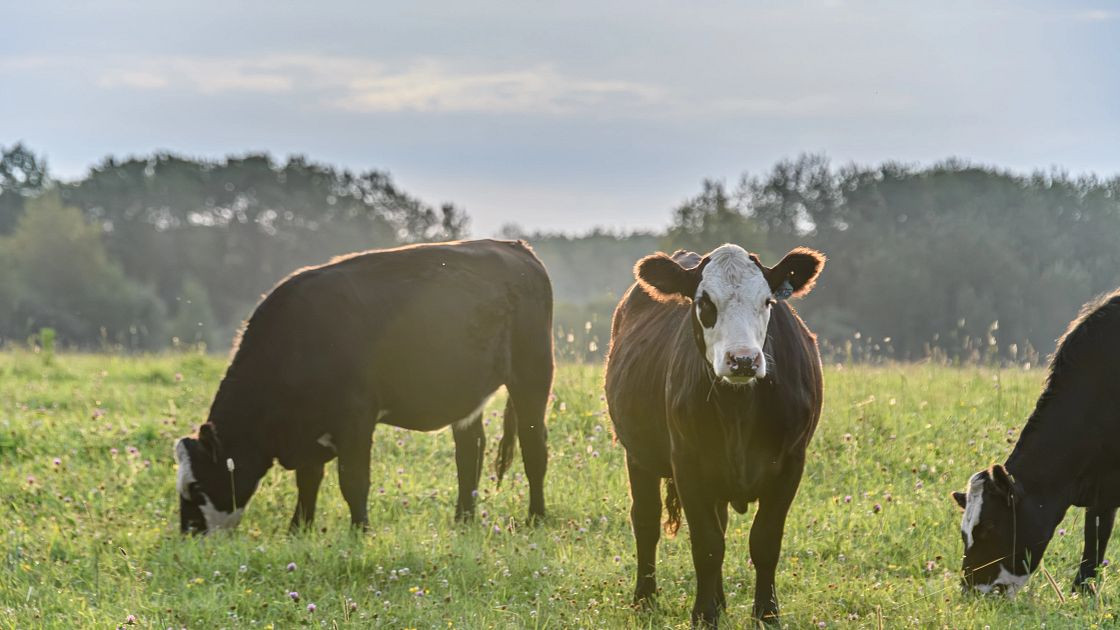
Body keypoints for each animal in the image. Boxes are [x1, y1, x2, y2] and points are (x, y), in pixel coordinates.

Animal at [174, 239, 554, 534]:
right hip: (466, 394)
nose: (188, 534)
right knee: (469, 453)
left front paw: (360, 532)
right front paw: (298, 530)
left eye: (197, 485)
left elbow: (353, 481)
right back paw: (463, 521)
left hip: (532, 376)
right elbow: (308, 482)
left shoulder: (355, 418)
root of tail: (515, 247)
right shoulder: (310, 430)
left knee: (534, 447)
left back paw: (535, 518)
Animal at [605, 243, 826, 628]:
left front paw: (766, 614)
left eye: (767, 301)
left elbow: (765, 541)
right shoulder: (687, 463)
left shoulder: (791, 463)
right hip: (639, 456)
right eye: (704, 302)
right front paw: (704, 615)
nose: (743, 360)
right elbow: (707, 545)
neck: (739, 407)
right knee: (645, 521)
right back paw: (644, 599)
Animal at [953, 289, 1120, 595]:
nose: (971, 589)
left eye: (991, 526)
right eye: (964, 532)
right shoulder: (1101, 484)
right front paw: (1081, 590)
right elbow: (1095, 534)